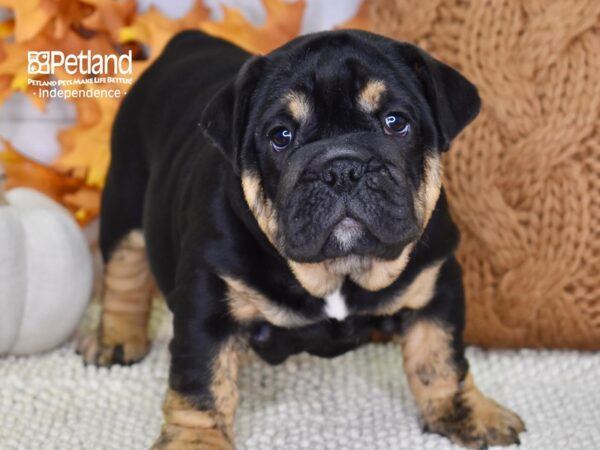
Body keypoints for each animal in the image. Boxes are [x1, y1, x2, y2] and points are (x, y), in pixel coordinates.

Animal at [79, 29, 524, 448]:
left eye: (396, 122)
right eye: (281, 136)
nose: (342, 168)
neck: (338, 272)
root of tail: (187, 40)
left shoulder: (435, 283)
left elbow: (440, 357)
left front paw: (466, 413)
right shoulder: (206, 305)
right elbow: (200, 382)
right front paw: (195, 441)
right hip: (123, 201)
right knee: (124, 274)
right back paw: (115, 339)